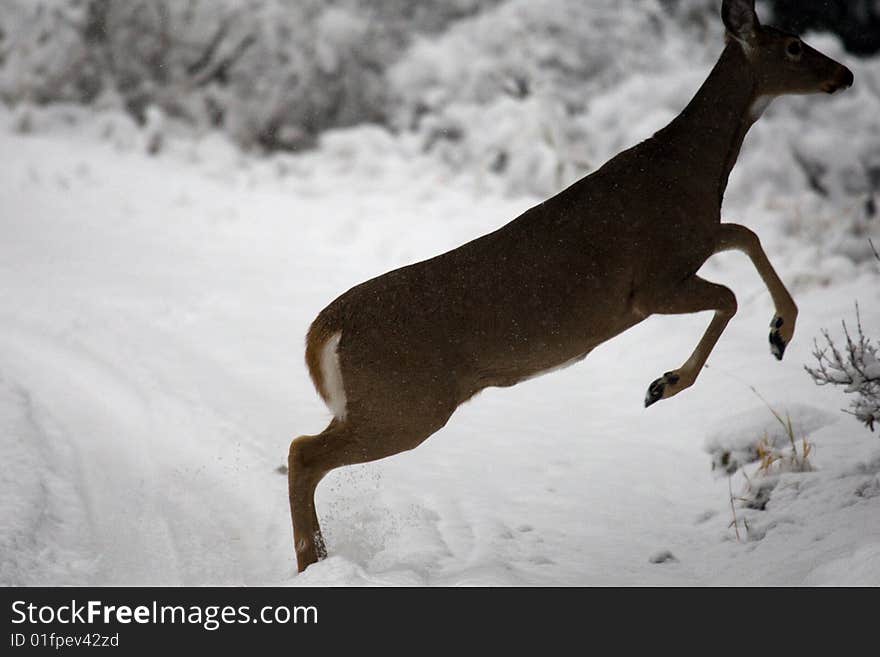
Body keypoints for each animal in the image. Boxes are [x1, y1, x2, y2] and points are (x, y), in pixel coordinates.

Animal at [288, 0, 852, 572]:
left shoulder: (698, 240)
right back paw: (314, 562)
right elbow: (731, 295)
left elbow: (745, 234)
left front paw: (780, 331)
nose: (844, 74)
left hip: (390, 402)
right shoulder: (650, 285)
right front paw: (665, 383)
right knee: (302, 451)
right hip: (407, 403)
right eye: (794, 46)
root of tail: (324, 330)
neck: (690, 171)